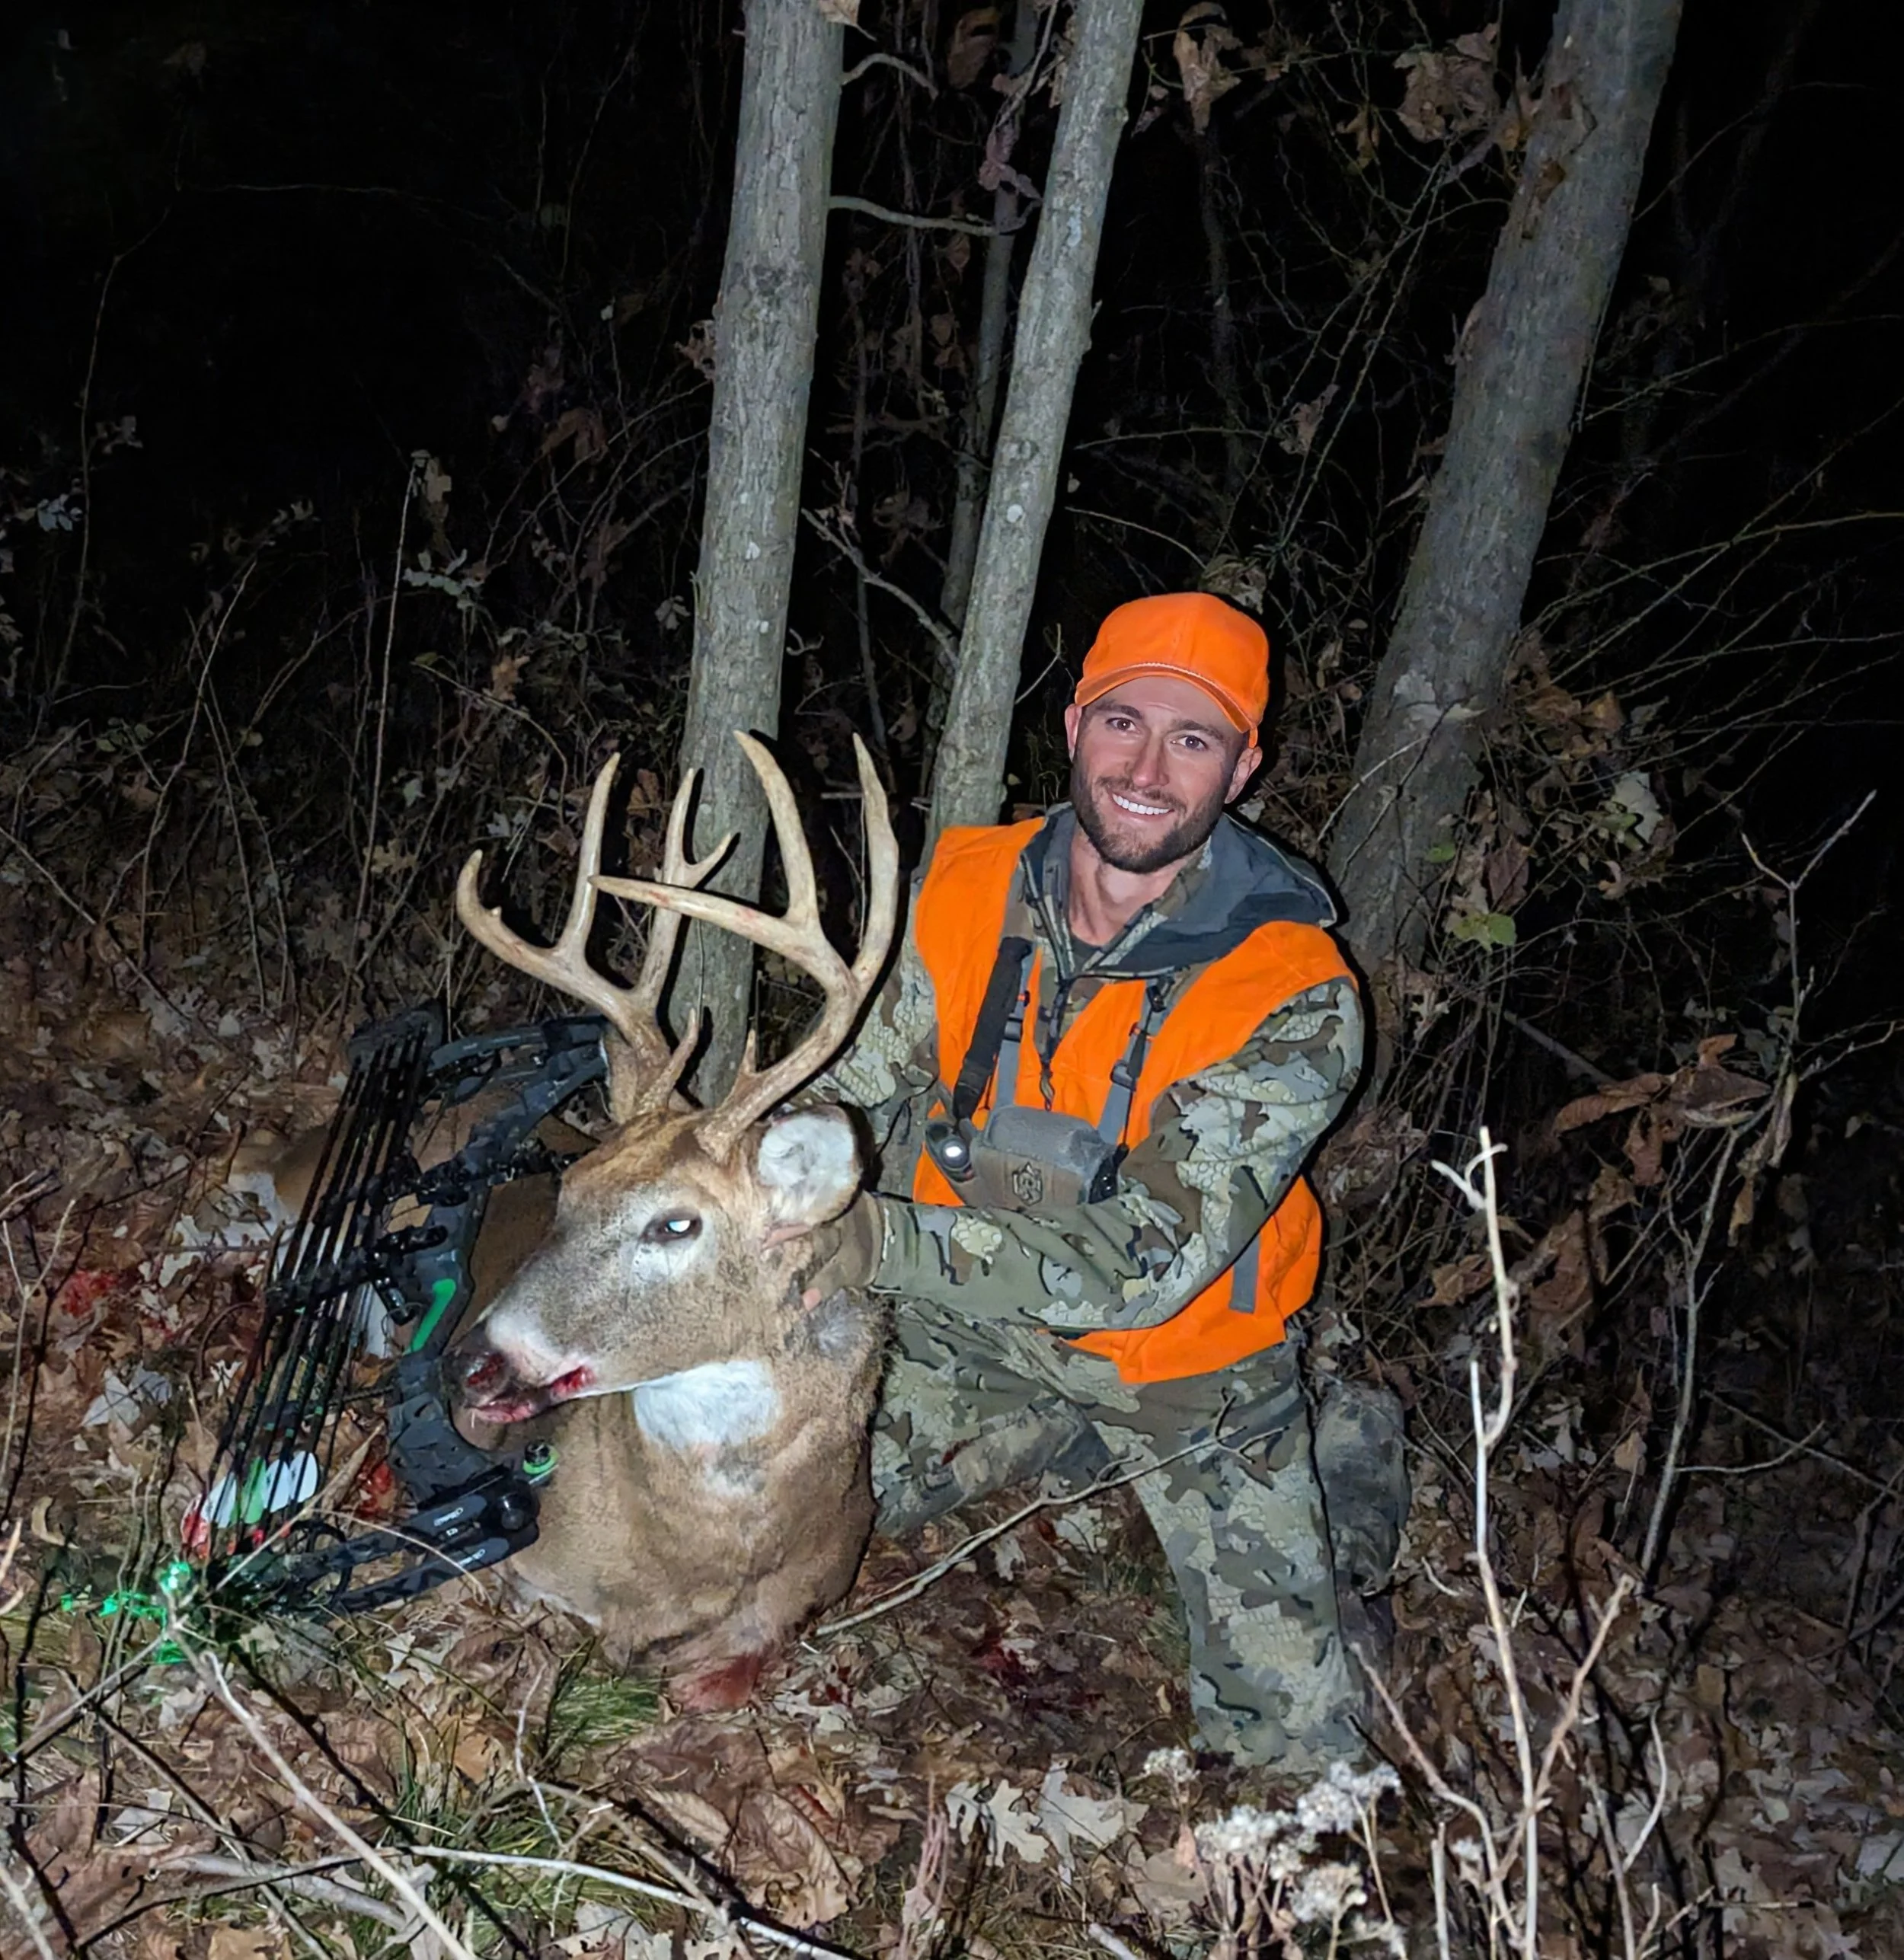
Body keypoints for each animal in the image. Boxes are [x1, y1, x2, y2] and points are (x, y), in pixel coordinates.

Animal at [440, 732, 900, 1710]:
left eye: (674, 1226)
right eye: (569, 1186)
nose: (469, 1363)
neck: (699, 1555)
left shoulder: (832, 1563)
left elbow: (743, 1652)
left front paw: (696, 1673)